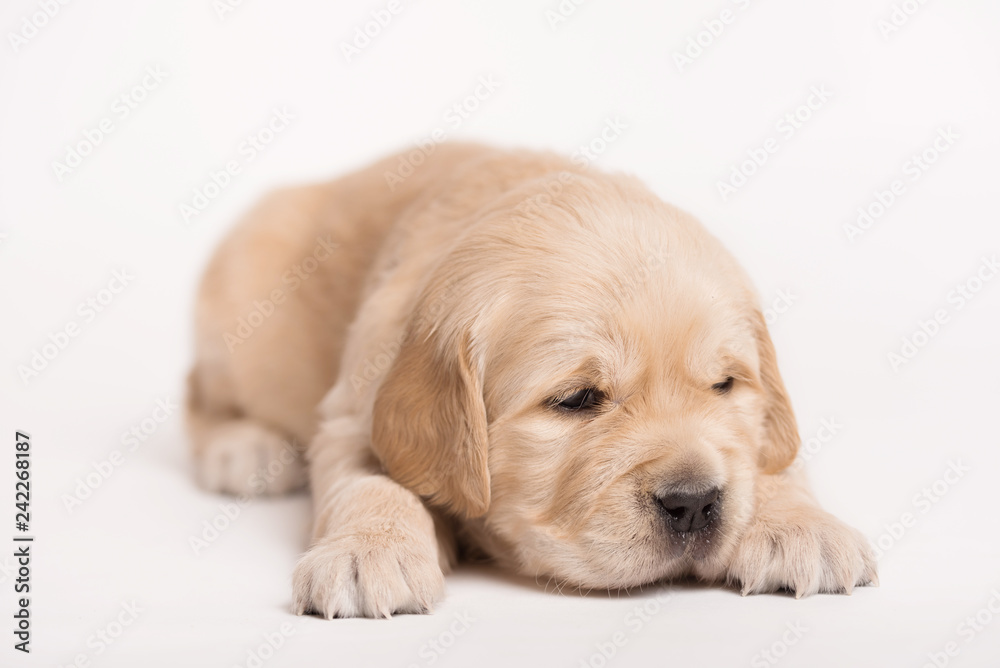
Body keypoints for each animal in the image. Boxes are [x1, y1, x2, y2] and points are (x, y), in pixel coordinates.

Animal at [188, 144, 876, 620]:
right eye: (576, 400)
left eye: (724, 385)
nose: (695, 502)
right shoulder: (357, 411)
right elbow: (370, 481)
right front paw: (368, 552)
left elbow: (769, 457)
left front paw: (800, 525)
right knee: (200, 394)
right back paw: (246, 450)